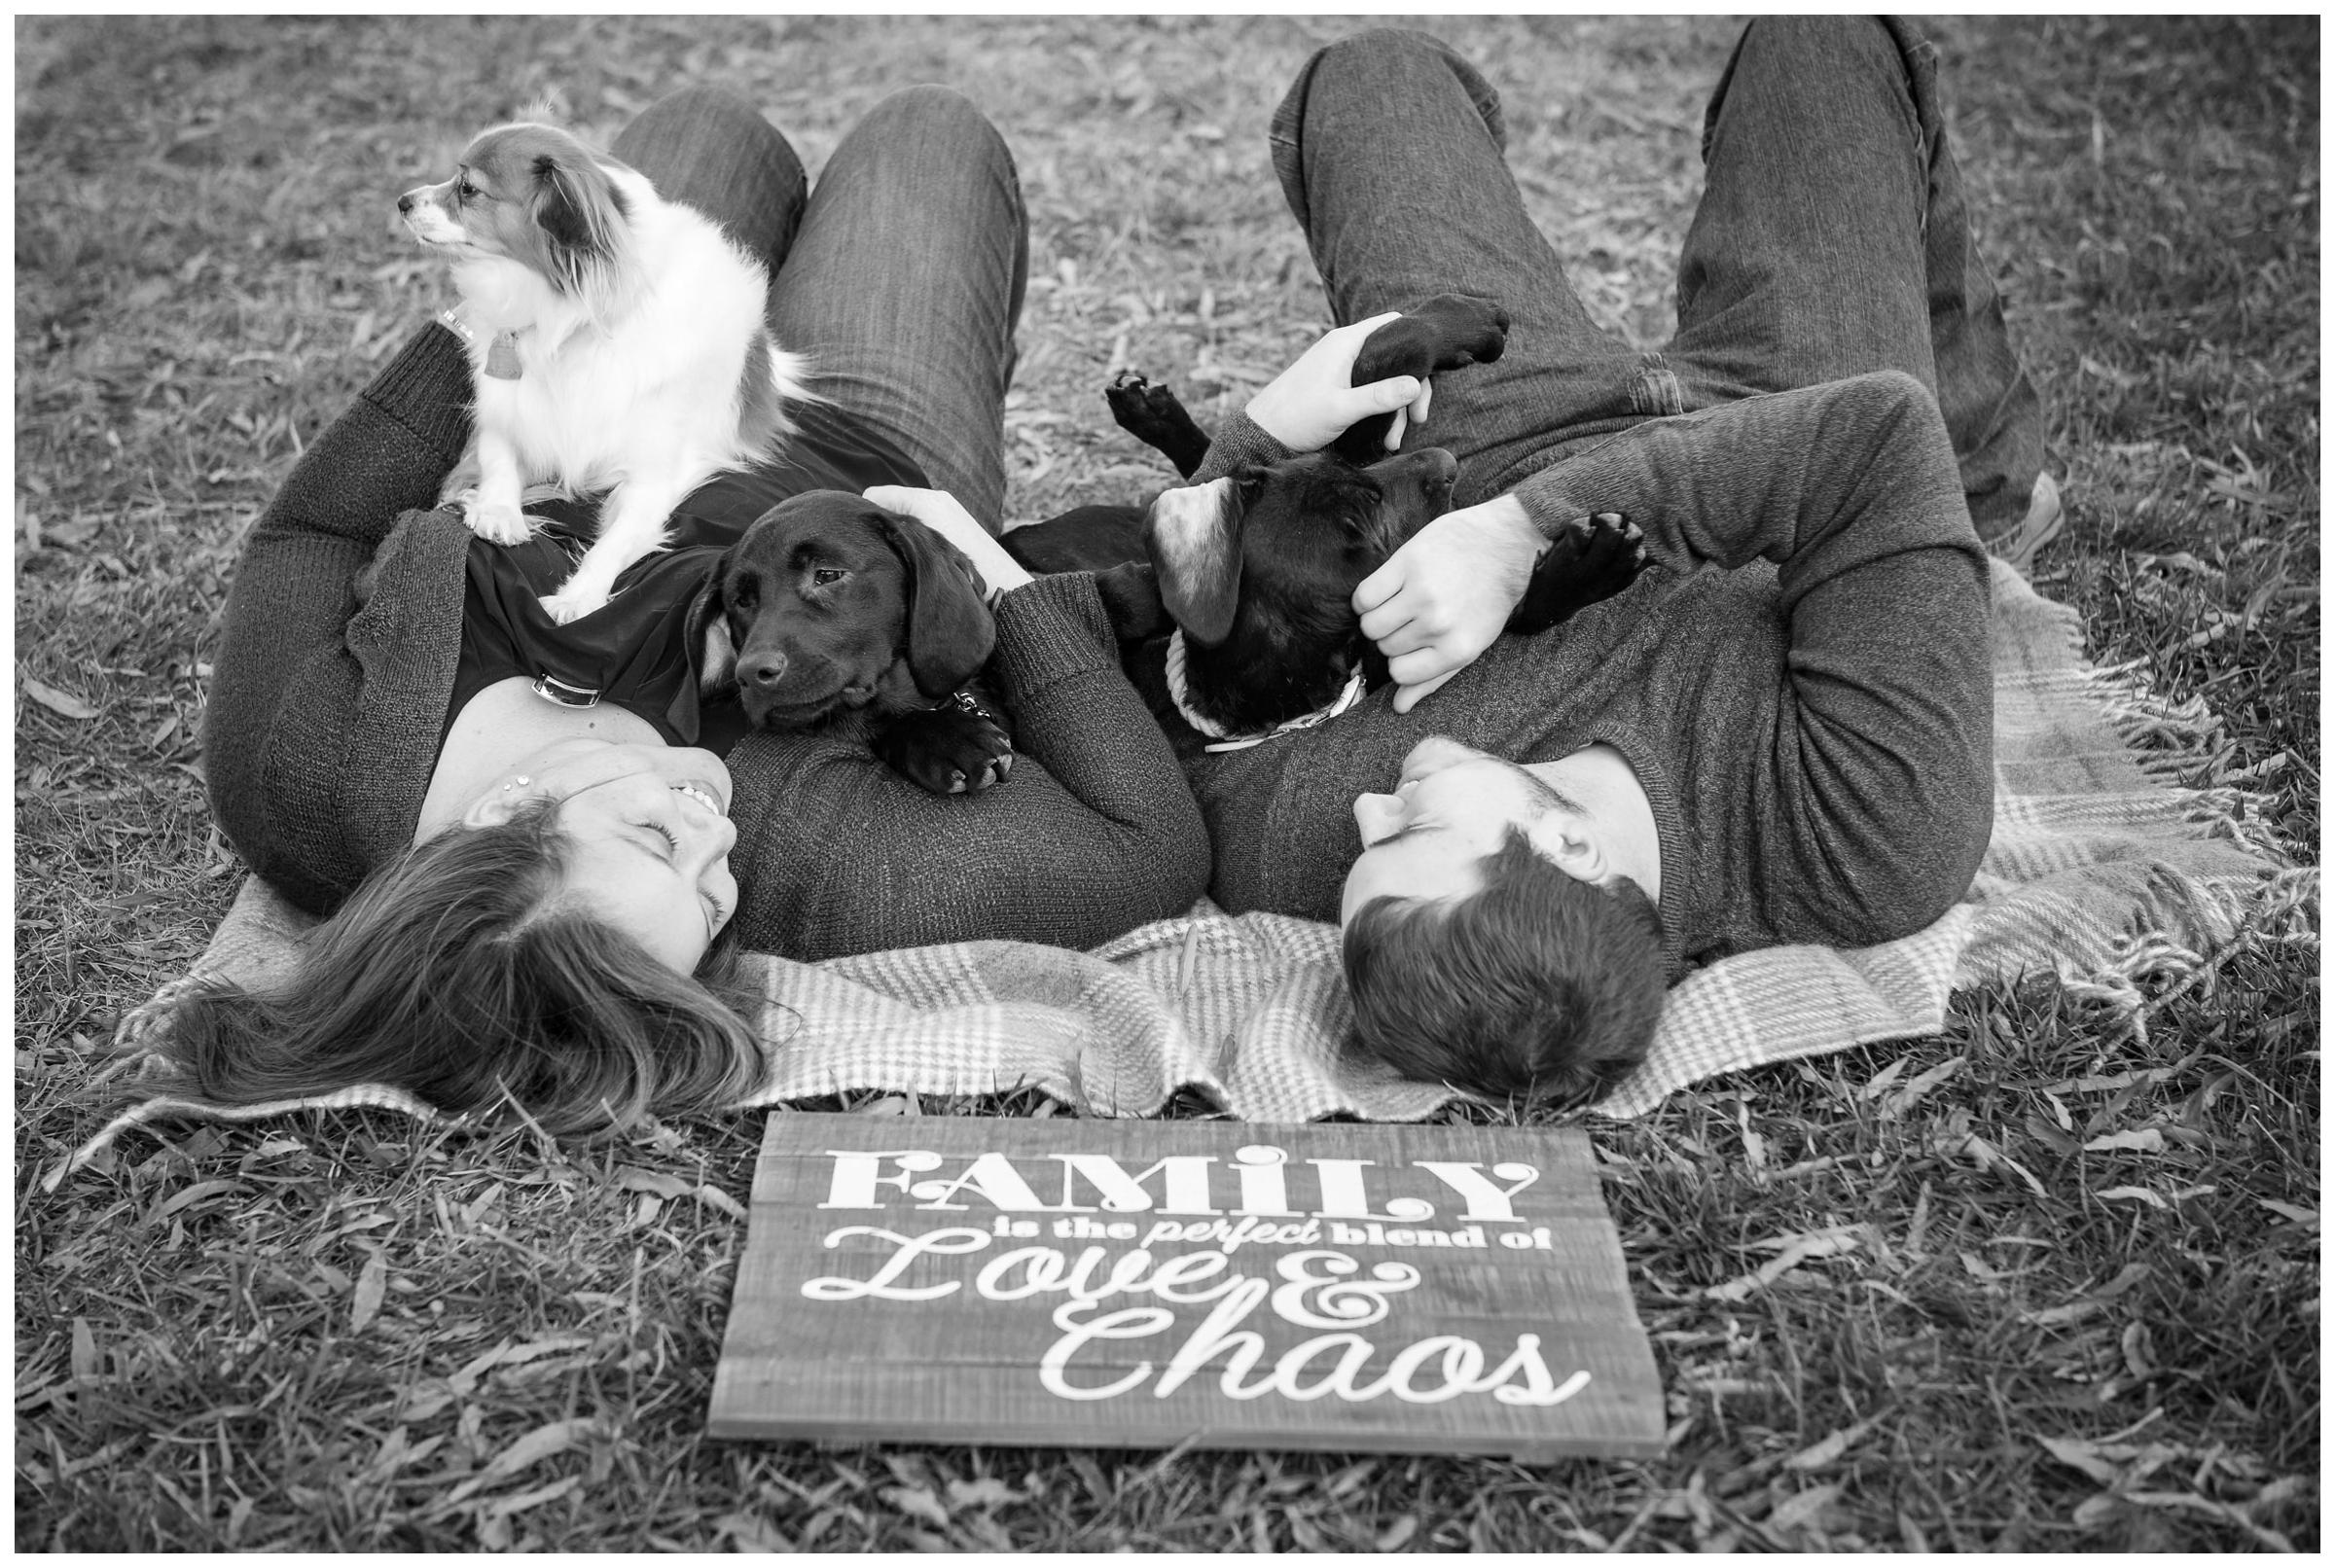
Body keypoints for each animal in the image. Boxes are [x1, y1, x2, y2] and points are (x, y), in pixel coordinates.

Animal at [394, 119, 812, 621]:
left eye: (468, 188)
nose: (403, 201)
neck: (571, 324)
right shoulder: (507, 412)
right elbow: (499, 456)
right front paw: (498, 510)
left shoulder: (652, 478)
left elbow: (612, 544)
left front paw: (578, 596)